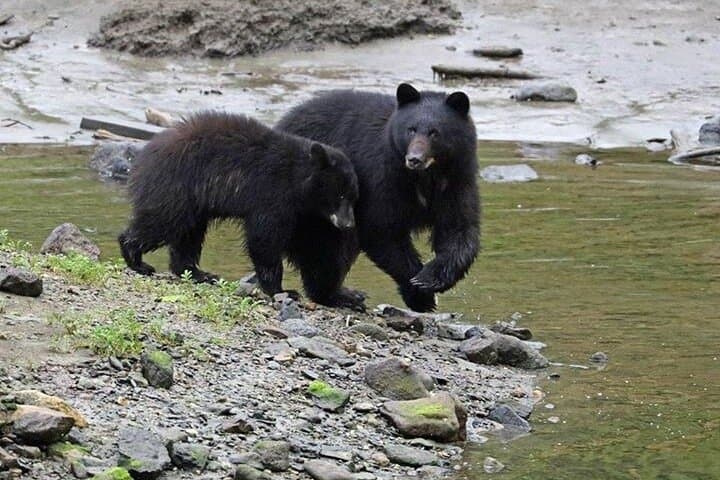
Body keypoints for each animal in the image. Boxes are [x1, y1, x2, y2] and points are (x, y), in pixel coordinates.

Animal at [118, 111, 362, 305]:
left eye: (354, 196)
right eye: (340, 194)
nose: (348, 224)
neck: (297, 178)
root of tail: (144, 157)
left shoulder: (303, 213)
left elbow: (309, 246)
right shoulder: (272, 194)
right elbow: (265, 239)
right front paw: (282, 290)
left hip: (194, 203)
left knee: (189, 235)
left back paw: (198, 273)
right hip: (177, 187)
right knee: (162, 222)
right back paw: (136, 259)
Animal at [276, 83, 480, 312]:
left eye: (434, 133)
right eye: (411, 129)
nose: (414, 159)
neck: (425, 177)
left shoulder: (456, 183)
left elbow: (459, 230)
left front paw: (430, 279)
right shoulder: (381, 178)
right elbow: (382, 229)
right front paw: (419, 293)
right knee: (325, 248)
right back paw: (342, 295)